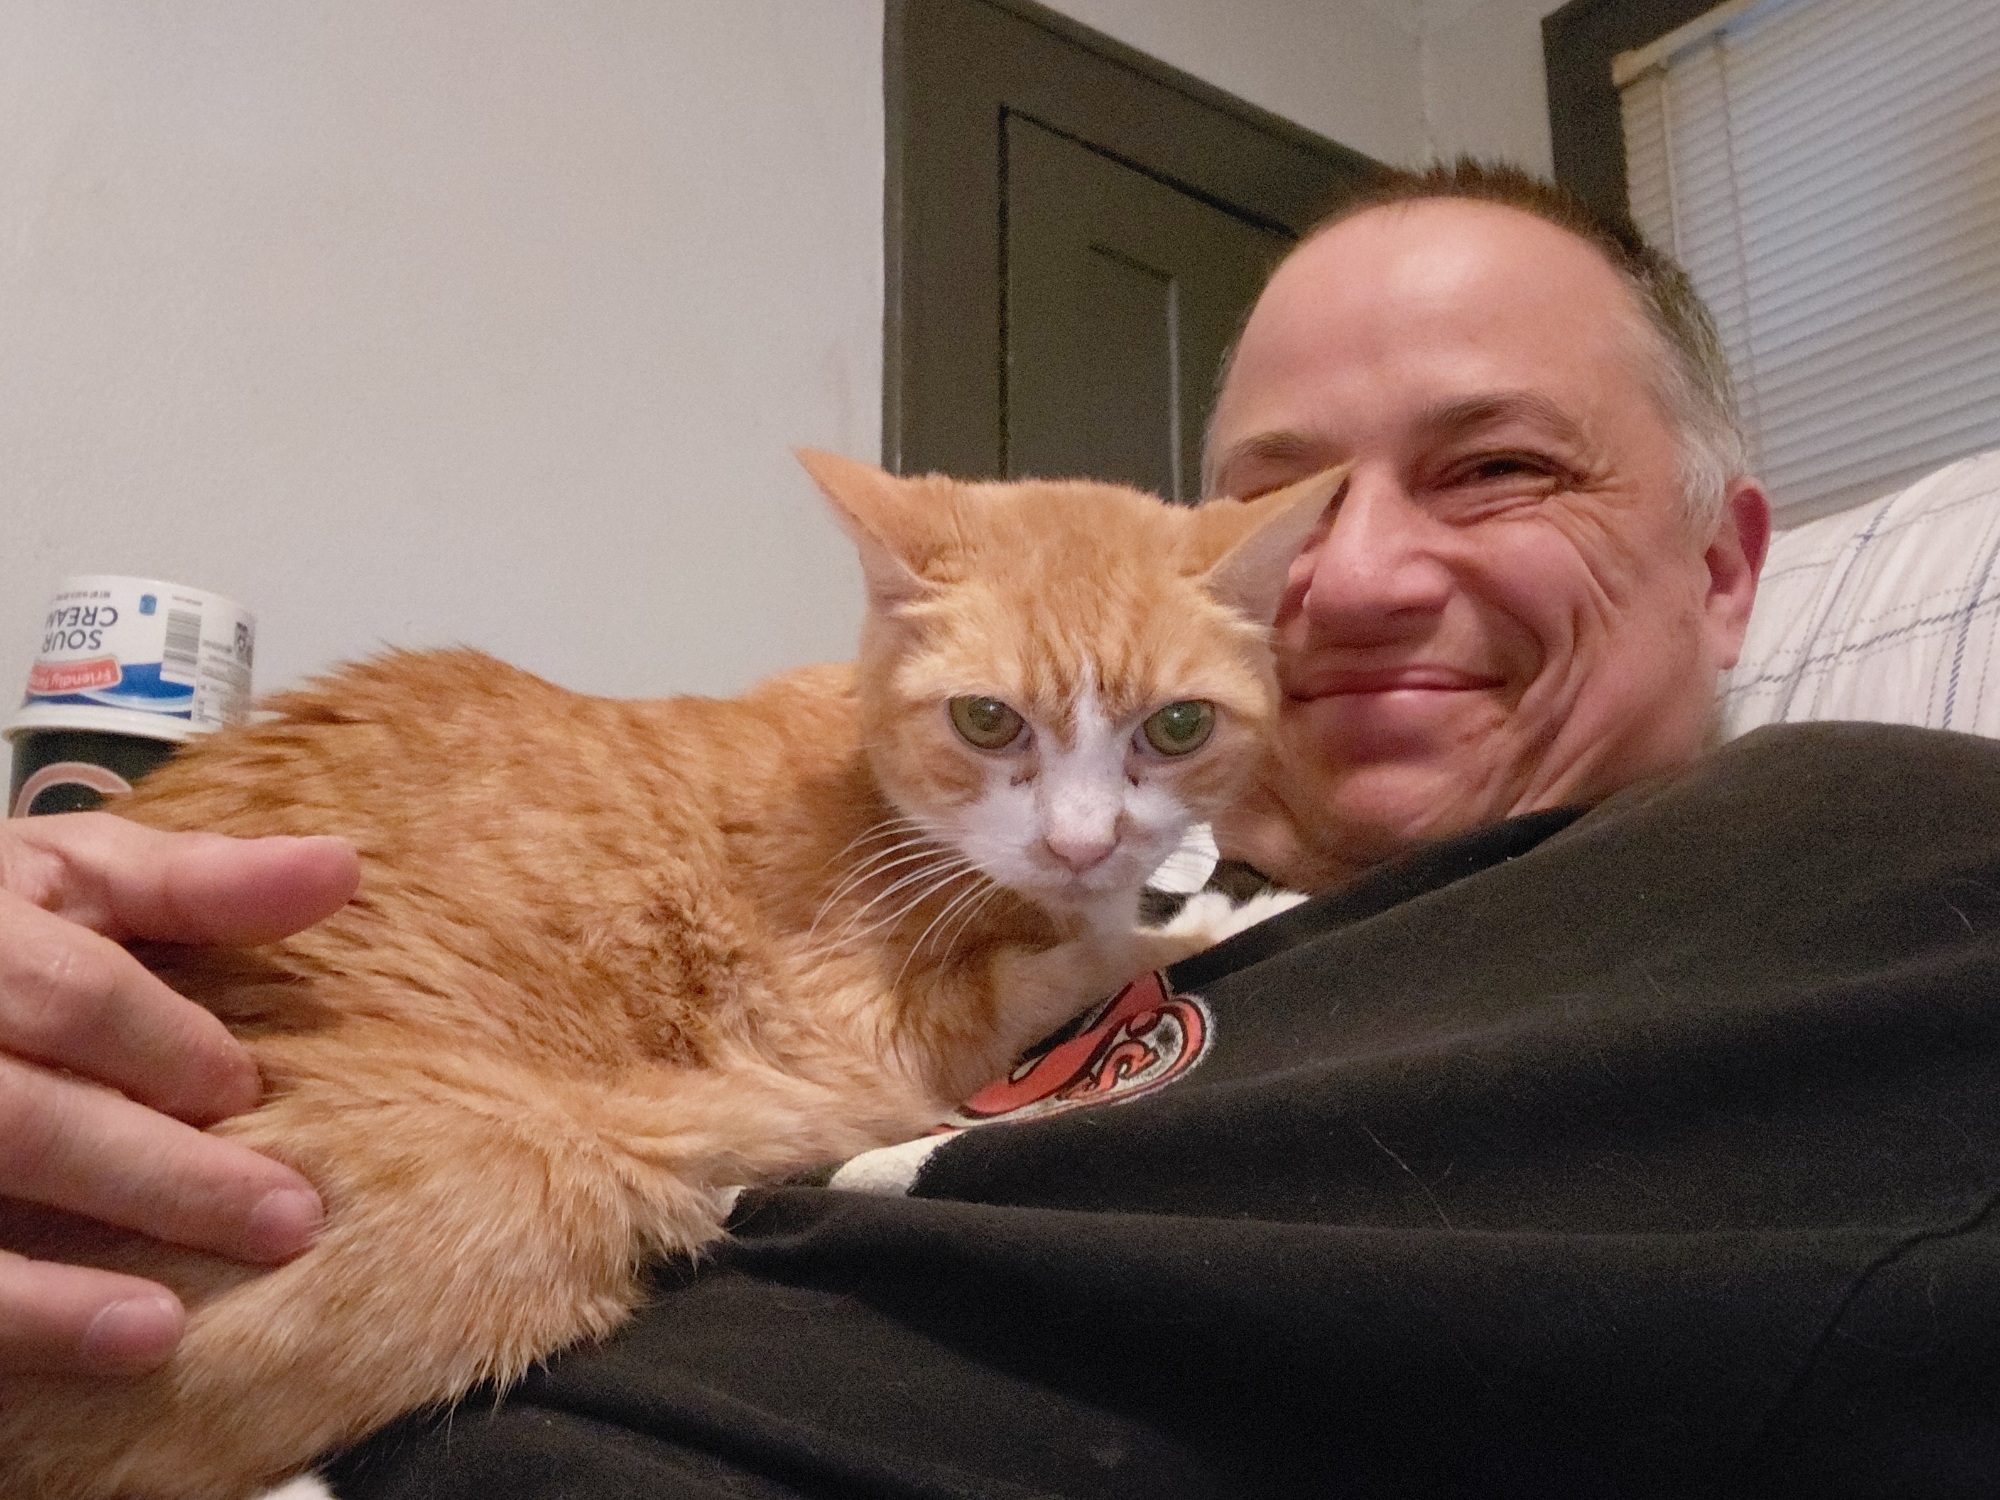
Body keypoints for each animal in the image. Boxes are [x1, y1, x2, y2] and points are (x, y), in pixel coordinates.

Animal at [0, 450, 1341, 1500]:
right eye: (984, 720)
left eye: (1176, 728)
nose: (1080, 841)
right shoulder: (887, 1031)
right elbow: (1096, 954)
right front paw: (1230, 908)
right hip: (536, 1189)